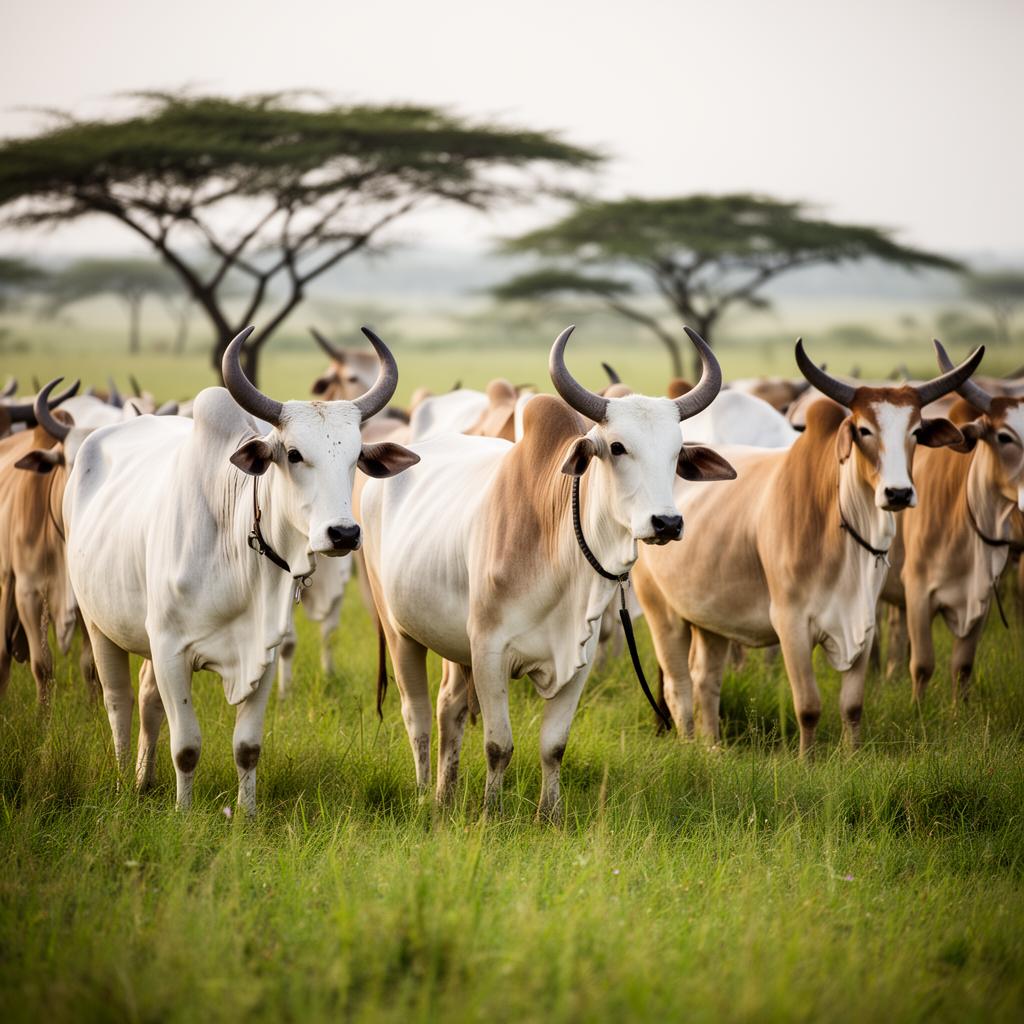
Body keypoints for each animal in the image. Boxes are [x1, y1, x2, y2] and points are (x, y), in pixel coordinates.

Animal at [64, 327, 419, 813]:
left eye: (354, 458)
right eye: (293, 454)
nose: (344, 533)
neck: (234, 551)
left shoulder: (261, 650)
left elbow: (247, 746)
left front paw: (246, 815)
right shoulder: (171, 649)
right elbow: (186, 745)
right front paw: (184, 813)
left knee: (147, 701)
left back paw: (142, 780)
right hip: (100, 624)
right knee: (118, 704)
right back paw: (122, 783)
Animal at [359, 326, 734, 820]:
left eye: (675, 452)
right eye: (617, 447)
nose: (667, 523)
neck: (559, 555)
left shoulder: (578, 659)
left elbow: (553, 746)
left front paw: (549, 815)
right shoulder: (490, 651)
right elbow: (499, 745)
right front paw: (491, 813)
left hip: (452, 642)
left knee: (448, 708)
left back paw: (445, 795)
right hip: (399, 631)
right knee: (417, 717)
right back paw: (426, 795)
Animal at [632, 343, 982, 753]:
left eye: (915, 432)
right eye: (864, 429)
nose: (898, 493)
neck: (839, 525)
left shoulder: (863, 621)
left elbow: (852, 705)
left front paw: (852, 755)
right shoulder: (791, 624)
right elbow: (809, 706)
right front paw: (808, 759)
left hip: (709, 618)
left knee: (705, 680)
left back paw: (713, 750)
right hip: (662, 611)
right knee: (679, 687)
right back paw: (690, 746)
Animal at [893, 340, 1024, 702]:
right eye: (1004, 437)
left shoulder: (982, 597)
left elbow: (962, 667)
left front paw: (958, 710)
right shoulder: (918, 591)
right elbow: (922, 665)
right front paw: (917, 710)